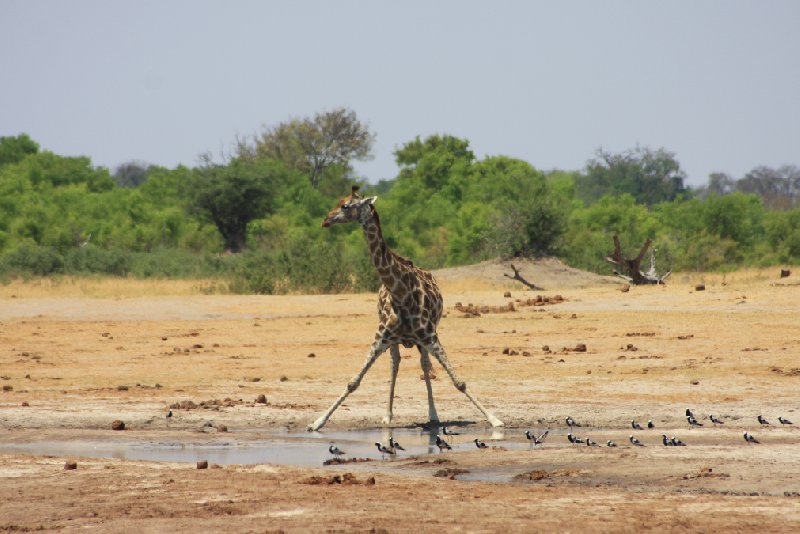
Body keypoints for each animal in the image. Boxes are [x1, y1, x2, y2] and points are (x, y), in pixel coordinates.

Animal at [310, 186, 504, 434]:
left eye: (345, 205)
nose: (325, 220)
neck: (401, 294)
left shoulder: (430, 336)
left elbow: (458, 381)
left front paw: (494, 419)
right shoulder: (381, 337)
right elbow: (354, 381)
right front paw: (318, 421)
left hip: (422, 340)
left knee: (424, 364)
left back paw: (433, 414)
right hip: (393, 341)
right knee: (395, 364)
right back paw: (387, 416)